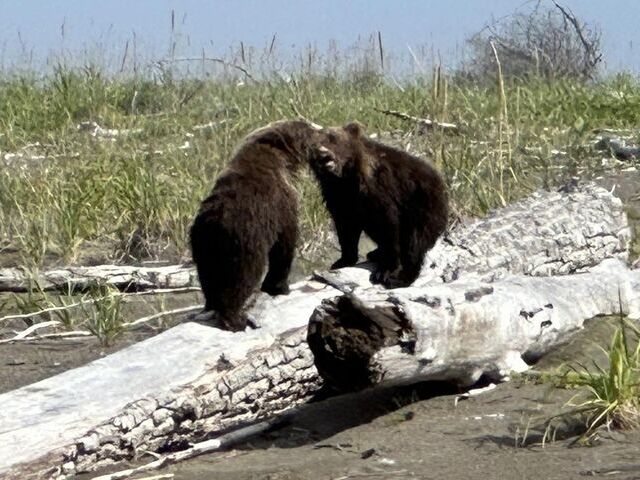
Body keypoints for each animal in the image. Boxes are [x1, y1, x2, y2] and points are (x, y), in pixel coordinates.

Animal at [188, 118, 322, 332]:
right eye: (310, 128)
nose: (322, 128)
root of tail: (215, 223)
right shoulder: (281, 203)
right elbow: (285, 243)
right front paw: (280, 287)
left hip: (203, 246)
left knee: (209, 278)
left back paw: (210, 305)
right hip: (244, 243)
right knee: (241, 280)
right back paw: (235, 320)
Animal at [312, 124, 450, 288]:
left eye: (333, 138)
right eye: (313, 145)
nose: (322, 152)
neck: (345, 178)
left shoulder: (379, 189)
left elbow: (387, 224)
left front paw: (385, 271)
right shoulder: (339, 198)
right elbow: (346, 228)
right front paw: (341, 261)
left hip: (423, 207)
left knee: (415, 242)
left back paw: (401, 277)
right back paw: (376, 252)